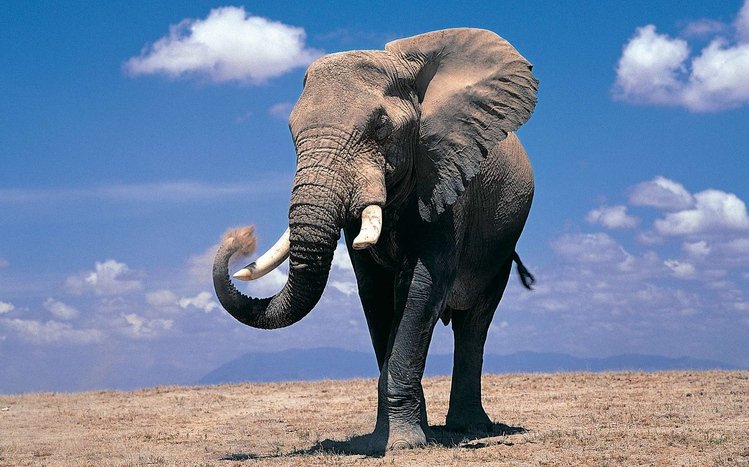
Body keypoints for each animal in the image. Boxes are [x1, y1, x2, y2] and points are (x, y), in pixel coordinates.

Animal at [213, 28, 538, 451]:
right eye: (291, 132)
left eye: (381, 129)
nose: (242, 237)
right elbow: (375, 293)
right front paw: (389, 440)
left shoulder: (446, 177)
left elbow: (421, 285)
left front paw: (403, 444)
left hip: (502, 240)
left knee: (474, 322)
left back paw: (470, 428)